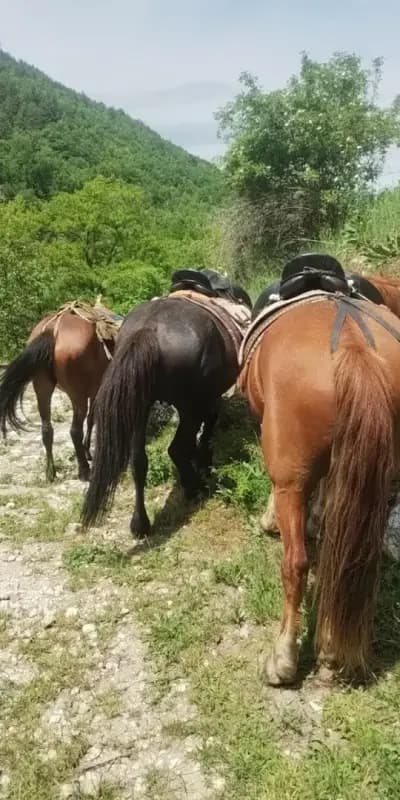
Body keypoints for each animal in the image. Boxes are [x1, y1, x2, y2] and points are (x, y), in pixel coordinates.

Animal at [0, 300, 121, 481]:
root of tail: (53, 330)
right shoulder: (95, 392)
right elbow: (92, 419)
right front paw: (88, 452)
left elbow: (92, 419)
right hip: (77, 396)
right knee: (75, 431)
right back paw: (84, 470)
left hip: (42, 389)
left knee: (47, 429)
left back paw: (50, 472)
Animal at [81, 273, 252, 537]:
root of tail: (148, 329)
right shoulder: (207, 398)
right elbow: (209, 426)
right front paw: (203, 461)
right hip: (188, 407)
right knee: (176, 449)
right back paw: (194, 488)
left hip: (139, 407)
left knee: (138, 461)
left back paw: (140, 523)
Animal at [239, 265, 400, 685]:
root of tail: (354, 350)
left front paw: (270, 520)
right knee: (345, 556)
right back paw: (331, 649)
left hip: (291, 482)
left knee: (296, 564)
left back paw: (284, 658)